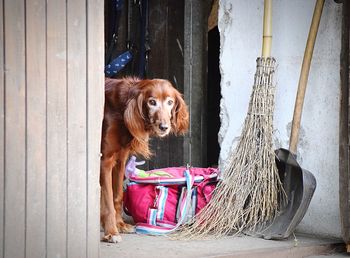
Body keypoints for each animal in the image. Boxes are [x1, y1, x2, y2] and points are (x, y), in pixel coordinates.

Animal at [100, 76, 190, 242]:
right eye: (152, 102)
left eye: (170, 102)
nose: (164, 127)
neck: (121, 107)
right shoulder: (105, 161)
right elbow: (108, 201)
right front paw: (111, 232)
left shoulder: (120, 159)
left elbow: (117, 196)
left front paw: (120, 224)